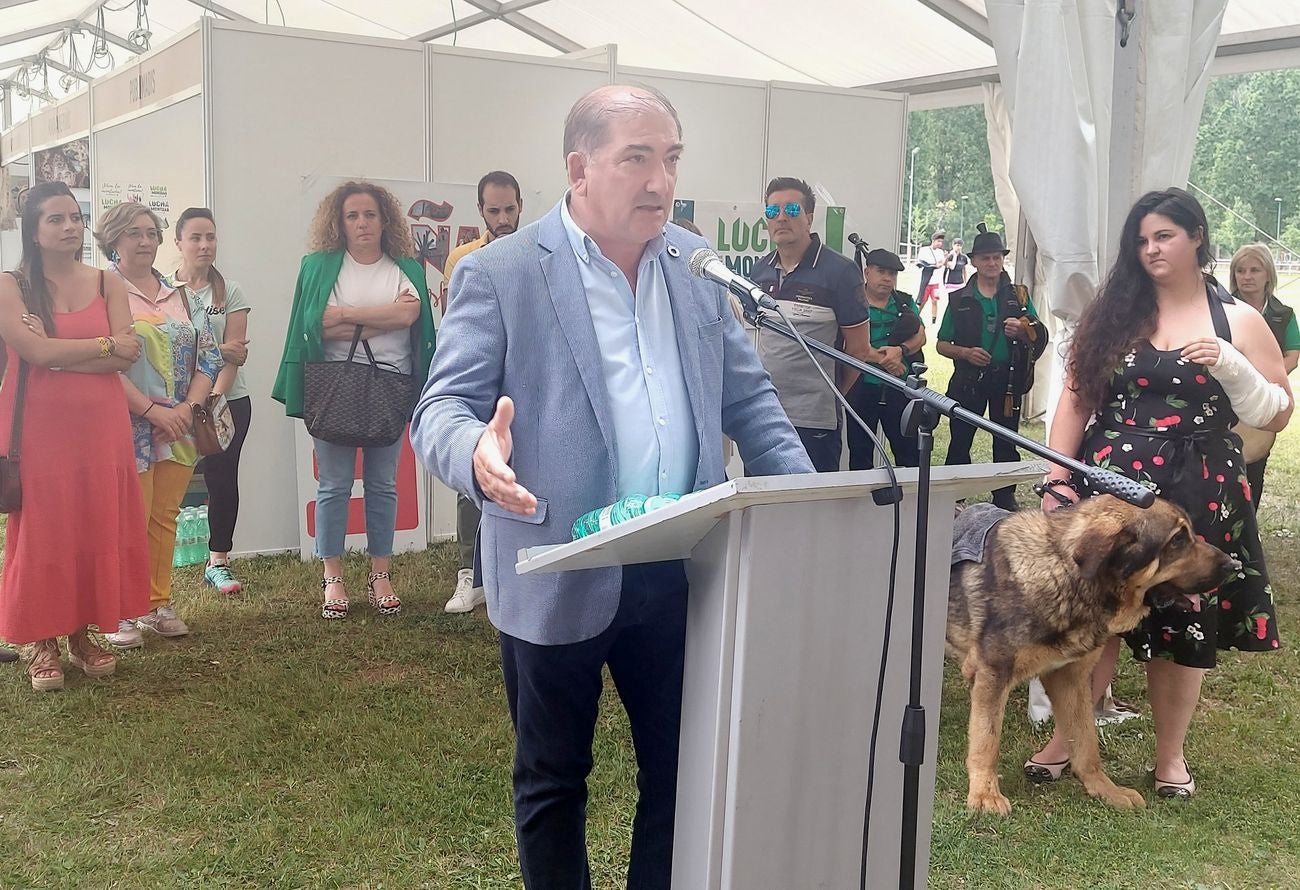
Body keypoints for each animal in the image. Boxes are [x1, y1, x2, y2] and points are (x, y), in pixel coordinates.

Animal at [946, 493, 1237, 810]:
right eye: (1178, 540)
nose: (1233, 565)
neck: (1065, 575)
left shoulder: (1069, 678)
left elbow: (1086, 741)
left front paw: (1104, 789)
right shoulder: (992, 675)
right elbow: (987, 740)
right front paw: (985, 795)